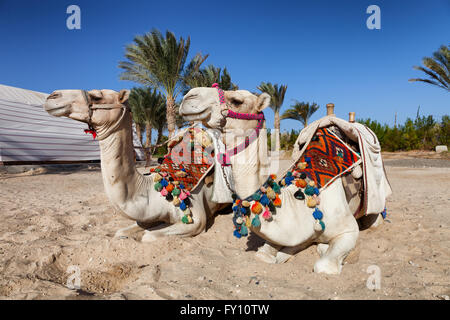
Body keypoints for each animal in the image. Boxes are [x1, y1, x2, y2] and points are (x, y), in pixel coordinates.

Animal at [43, 89, 227, 241]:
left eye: (96, 97)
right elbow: (123, 231)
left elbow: (148, 236)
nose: (52, 96)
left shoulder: (196, 218)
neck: (153, 189)